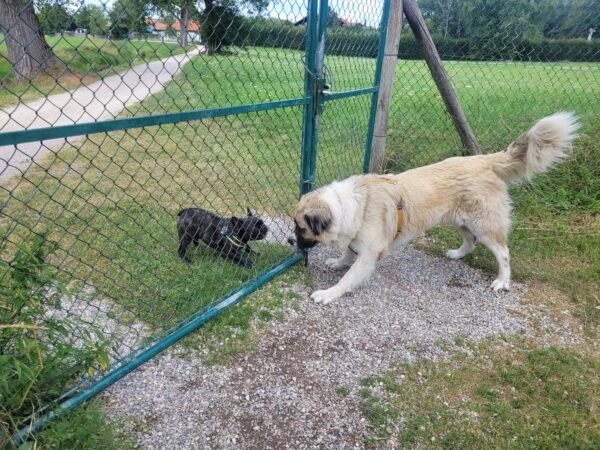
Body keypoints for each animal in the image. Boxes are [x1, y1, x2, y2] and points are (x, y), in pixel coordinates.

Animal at [291, 112, 579, 304]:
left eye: (300, 227)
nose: (289, 241)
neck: (351, 206)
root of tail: (485, 160)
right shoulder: (358, 241)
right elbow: (348, 254)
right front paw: (339, 262)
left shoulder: (370, 254)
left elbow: (348, 278)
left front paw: (328, 293)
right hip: (460, 220)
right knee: (470, 241)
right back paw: (456, 254)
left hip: (484, 225)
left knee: (503, 253)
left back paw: (502, 281)